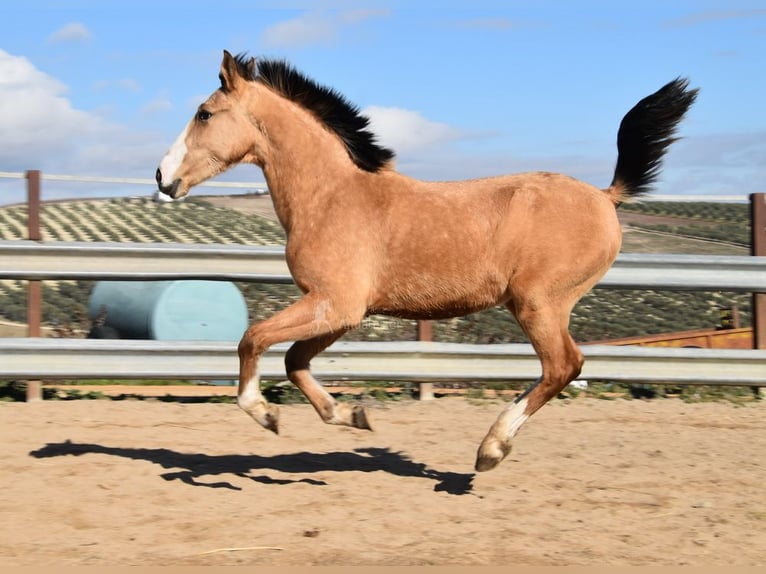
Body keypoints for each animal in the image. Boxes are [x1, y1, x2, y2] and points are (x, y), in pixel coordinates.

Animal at [154, 50, 696, 472]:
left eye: (204, 113)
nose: (162, 176)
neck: (331, 196)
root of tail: (606, 196)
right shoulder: (345, 312)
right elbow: (294, 361)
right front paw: (352, 416)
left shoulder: (334, 303)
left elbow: (253, 340)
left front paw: (265, 414)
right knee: (560, 369)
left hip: (539, 304)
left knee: (563, 365)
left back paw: (490, 449)